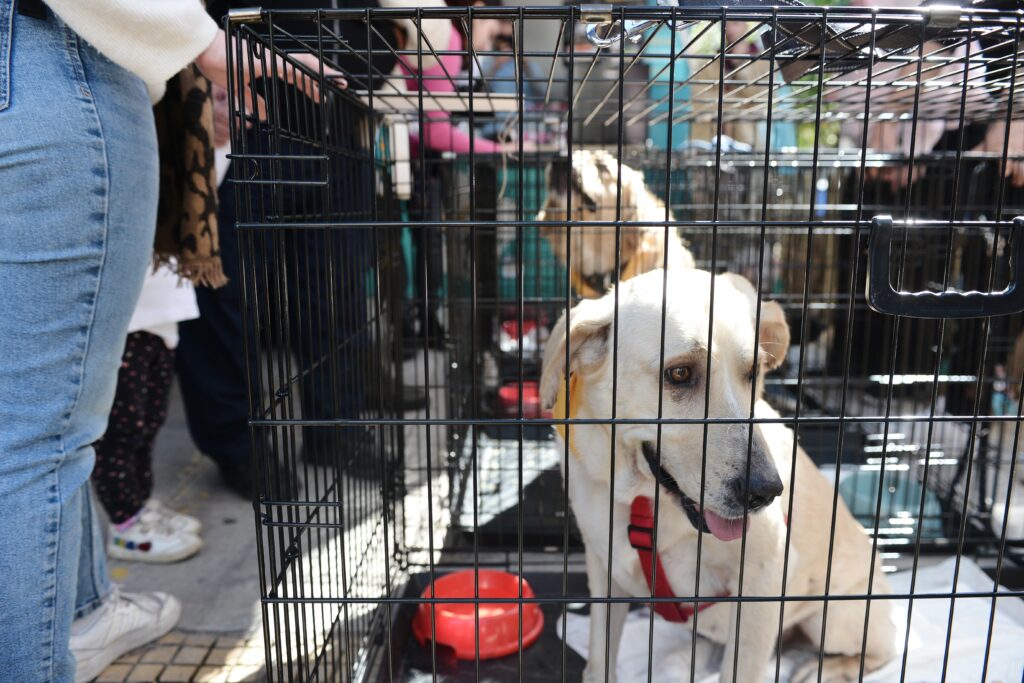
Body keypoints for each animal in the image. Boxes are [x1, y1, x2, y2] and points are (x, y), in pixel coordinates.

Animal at [540, 268, 892, 683]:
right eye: (679, 373)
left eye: (753, 372)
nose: (767, 491)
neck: (644, 501)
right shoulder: (604, 571)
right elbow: (598, 662)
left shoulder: (764, 580)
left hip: (836, 615)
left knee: (880, 652)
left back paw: (825, 669)